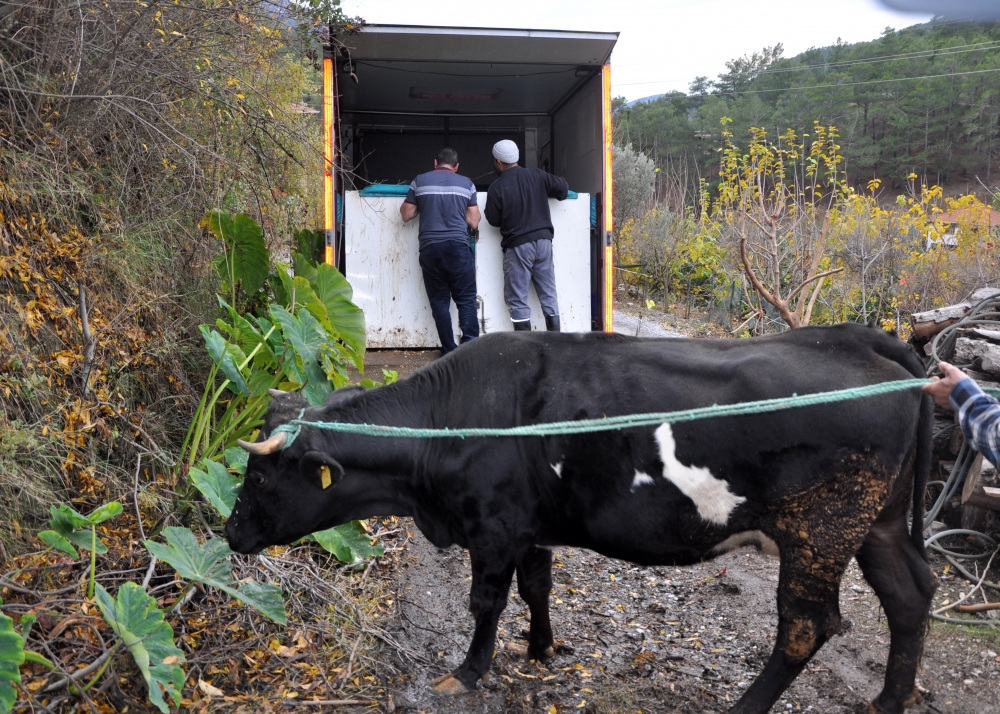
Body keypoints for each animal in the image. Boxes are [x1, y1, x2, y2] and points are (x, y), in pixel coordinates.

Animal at [227, 324, 936, 712]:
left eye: (258, 476)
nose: (229, 532)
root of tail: (859, 340)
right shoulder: (529, 525)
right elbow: (537, 585)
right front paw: (541, 647)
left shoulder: (492, 526)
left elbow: (486, 602)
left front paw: (468, 673)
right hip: (875, 523)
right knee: (909, 595)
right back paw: (889, 698)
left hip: (820, 531)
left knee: (805, 626)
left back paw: (746, 706)